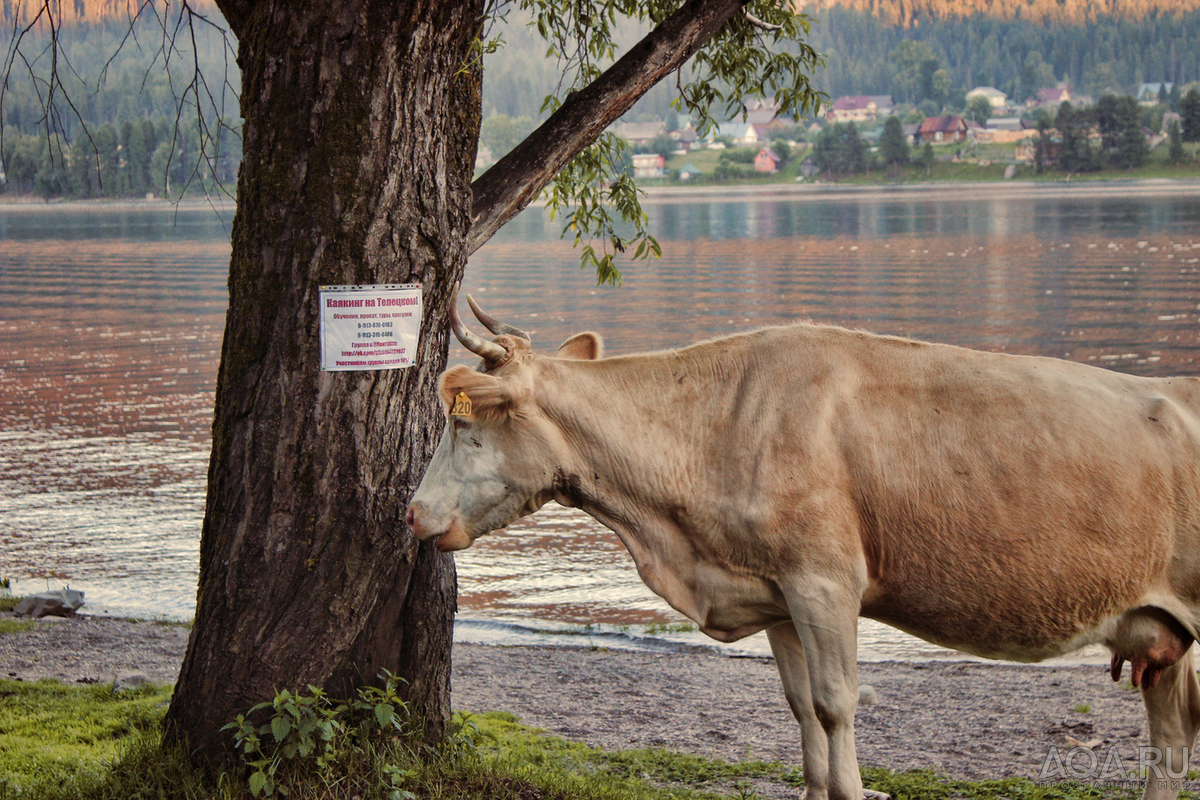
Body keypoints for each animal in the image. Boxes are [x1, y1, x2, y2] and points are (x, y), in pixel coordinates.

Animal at [405, 296, 1200, 800]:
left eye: (463, 425)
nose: (412, 513)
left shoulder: (826, 582)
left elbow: (835, 707)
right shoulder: (779, 594)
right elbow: (801, 715)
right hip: (1164, 638)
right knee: (1169, 747)